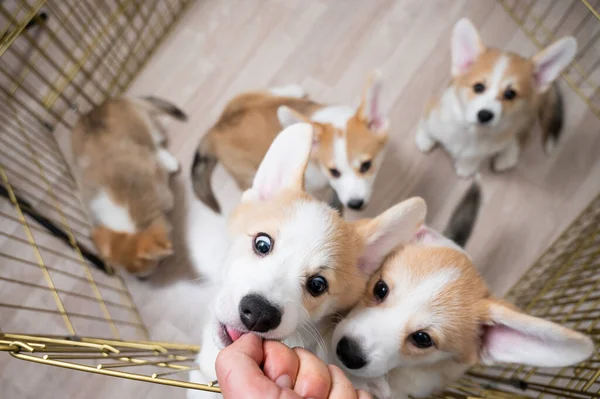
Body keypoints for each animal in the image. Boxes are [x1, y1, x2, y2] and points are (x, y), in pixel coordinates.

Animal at [69, 97, 185, 278]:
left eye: (156, 263)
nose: (143, 280)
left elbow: (166, 194)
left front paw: (168, 202)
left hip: (148, 127)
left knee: (156, 143)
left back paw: (169, 161)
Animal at [191, 72, 390, 216]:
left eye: (366, 165)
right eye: (334, 172)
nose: (355, 204)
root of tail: (215, 131)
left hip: (247, 99)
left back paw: (292, 91)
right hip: (247, 172)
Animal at [418, 18, 576, 178]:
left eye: (510, 94)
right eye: (478, 87)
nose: (484, 115)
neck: (471, 132)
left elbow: (474, 156)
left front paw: (466, 166)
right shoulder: (433, 112)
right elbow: (427, 127)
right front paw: (424, 140)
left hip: (523, 121)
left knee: (520, 138)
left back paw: (507, 158)